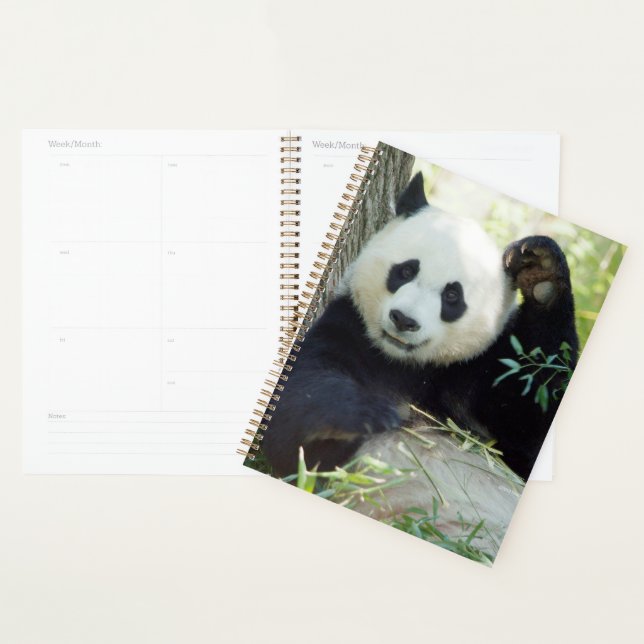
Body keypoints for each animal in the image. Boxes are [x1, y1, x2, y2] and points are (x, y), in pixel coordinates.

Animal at [262, 171, 579, 489]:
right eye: (405, 271)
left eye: (452, 296)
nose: (404, 320)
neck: (405, 365)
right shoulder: (349, 329)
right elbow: (295, 409)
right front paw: (368, 413)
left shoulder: (480, 370)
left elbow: (535, 409)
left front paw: (541, 270)